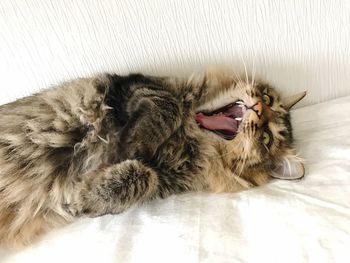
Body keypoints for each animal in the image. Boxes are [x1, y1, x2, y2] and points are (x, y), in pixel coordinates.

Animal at [0, 67, 306, 248]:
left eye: (266, 140)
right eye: (268, 99)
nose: (259, 108)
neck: (188, 134)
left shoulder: (163, 179)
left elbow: (142, 176)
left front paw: (82, 198)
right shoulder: (138, 86)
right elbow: (167, 107)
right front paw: (128, 147)